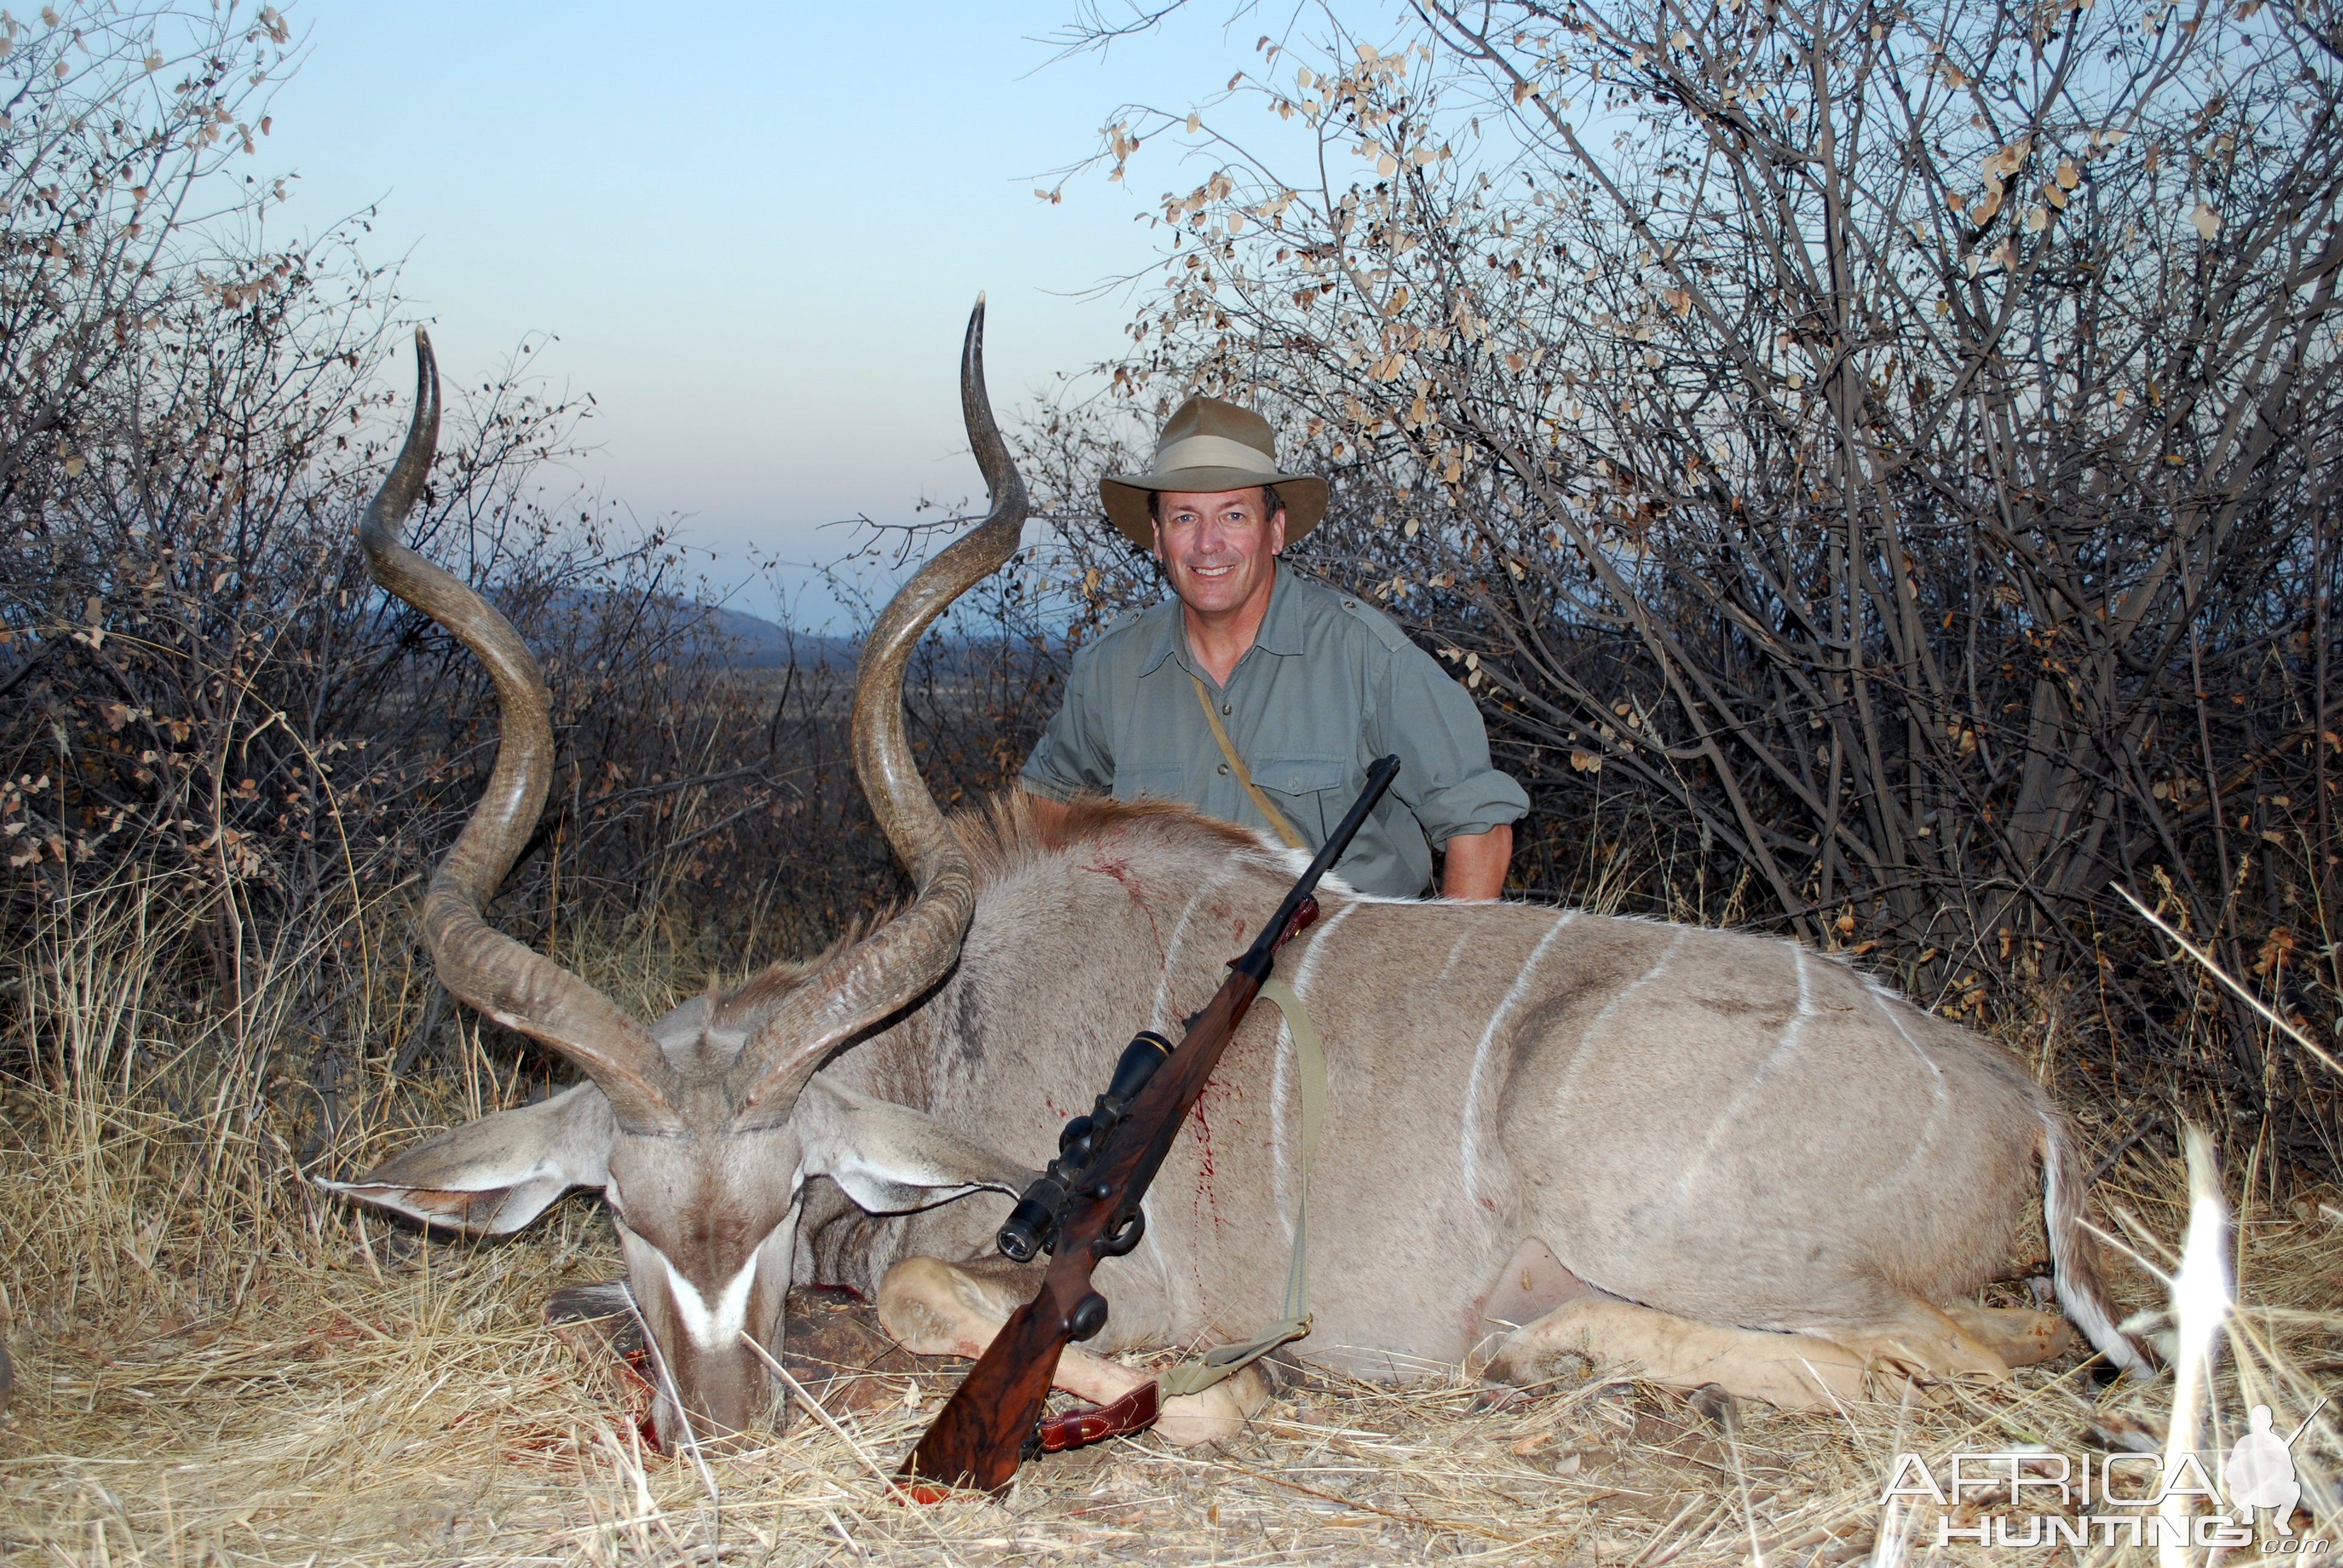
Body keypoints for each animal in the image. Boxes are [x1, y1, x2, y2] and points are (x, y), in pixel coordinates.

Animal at [326, 309, 2146, 1453]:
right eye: (626, 1214)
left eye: (780, 1204)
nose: (722, 1421)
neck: (945, 1039)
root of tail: (2025, 1106)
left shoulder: (1082, 1278)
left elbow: (943, 1296)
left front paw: (1203, 1399)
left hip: (1666, 1214)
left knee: (1983, 1348)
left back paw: (1565, 1352)